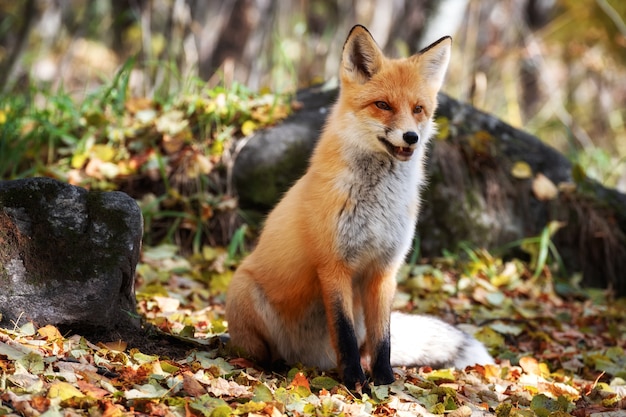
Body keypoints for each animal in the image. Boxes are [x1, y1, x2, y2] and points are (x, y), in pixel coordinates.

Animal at [224, 24, 492, 388]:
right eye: (383, 105)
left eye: (418, 109)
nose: (411, 137)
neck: (377, 204)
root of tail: (307, 358)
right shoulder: (334, 266)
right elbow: (345, 333)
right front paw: (353, 382)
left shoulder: (384, 270)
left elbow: (384, 340)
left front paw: (383, 382)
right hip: (244, 291)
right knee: (259, 353)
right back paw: (273, 366)